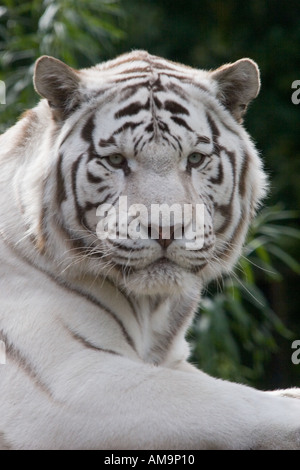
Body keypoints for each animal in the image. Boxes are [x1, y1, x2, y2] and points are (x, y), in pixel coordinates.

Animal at [0, 49, 300, 450]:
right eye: (115, 160)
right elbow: (234, 403)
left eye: (195, 159)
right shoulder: (70, 381)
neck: (152, 310)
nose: (166, 228)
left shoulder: (171, 360)